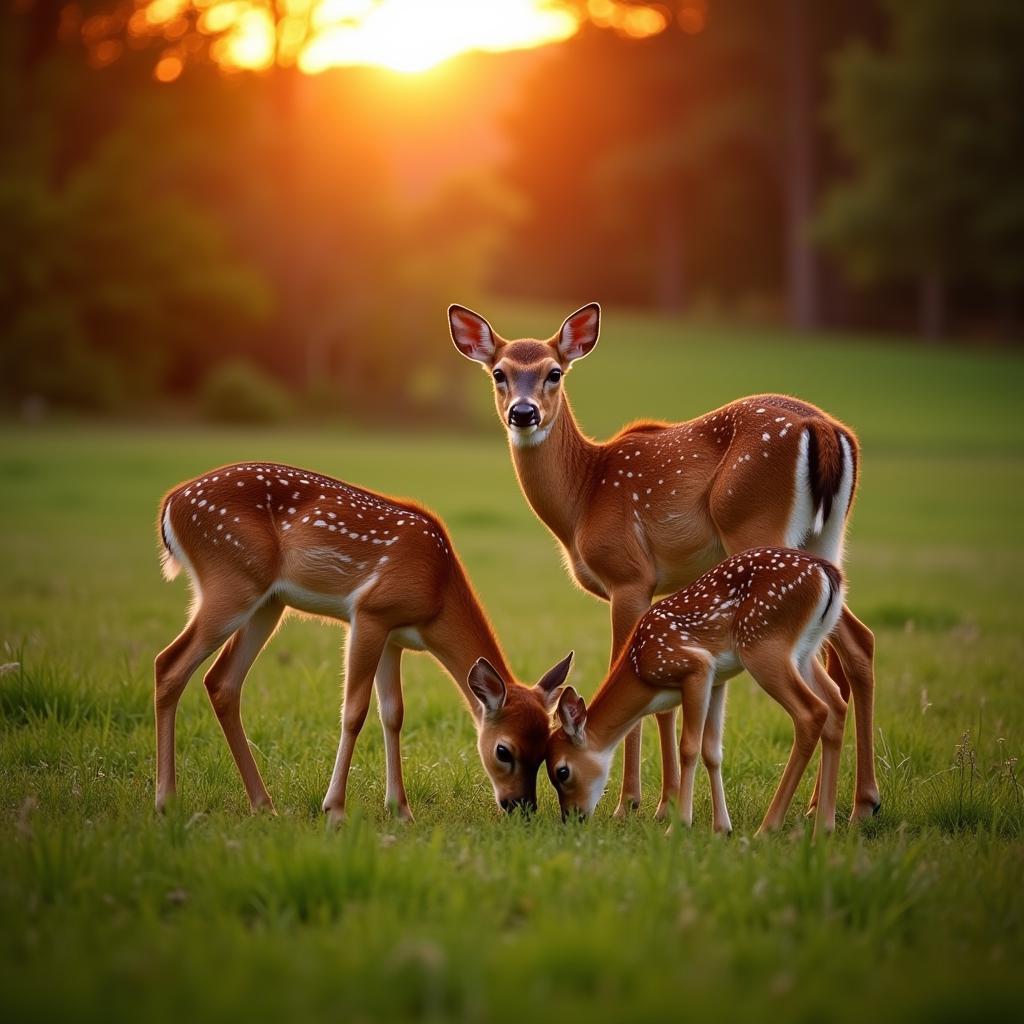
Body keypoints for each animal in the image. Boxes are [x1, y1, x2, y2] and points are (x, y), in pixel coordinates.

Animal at [151, 464, 573, 823]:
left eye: (545, 750)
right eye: (504, 750)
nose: (522, 807)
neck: (437, 593)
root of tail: (170, 504)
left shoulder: (393, 638)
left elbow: (394, 713)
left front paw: (401, 810)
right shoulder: (369, 614)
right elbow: (354, 711)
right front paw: (335, 809)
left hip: (267, 602)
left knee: (222, 681)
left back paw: (263, 804)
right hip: (231, 580)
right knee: (169, 663)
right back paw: (166, 801)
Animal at [544, 548, 847, 835]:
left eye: (562, 772)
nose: (572, 817)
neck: (641, 669)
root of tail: (826, 572)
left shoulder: (696, 667)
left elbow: (689, 747)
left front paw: (679, 825)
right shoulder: (718, 680)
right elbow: (712, 750)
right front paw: (721, 827)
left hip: (764, 644)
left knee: (812, 711)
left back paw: (768, 828)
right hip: (805, 649)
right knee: (836, 702)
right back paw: (824, 826)